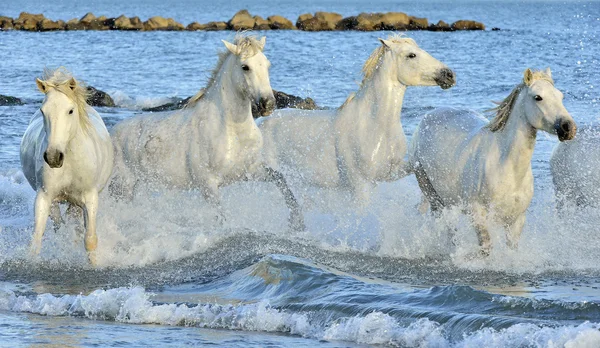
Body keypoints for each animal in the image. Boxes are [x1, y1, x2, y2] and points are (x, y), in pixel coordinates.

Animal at [20, 67, 115, 264]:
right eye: (42, 111)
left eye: (70, 111)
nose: (53, 157)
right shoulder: (44, 196)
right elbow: (36, 239)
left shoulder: (90, 198)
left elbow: (90, 240)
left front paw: (94, 265)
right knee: (60, 224)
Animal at [109, 34, 304, 231]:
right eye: (245, 67)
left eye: (267, 64)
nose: (268, 104)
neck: (232, 132)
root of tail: (111, 133)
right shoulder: (208, 185)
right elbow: (221, 217)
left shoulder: (249, 172)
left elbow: (280, 179)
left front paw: (297, 222)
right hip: (123, 186)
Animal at [258, 34, 454, 204]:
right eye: (411, 55)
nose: (449, 75)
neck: (375, 126)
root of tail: (260, 127)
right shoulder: (361, 186)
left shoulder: (390, 173)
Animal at [408, 68, 576, 254]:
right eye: (537, 97)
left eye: (560, 96)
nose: (569, 128)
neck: (507, 168)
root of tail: (428, 116)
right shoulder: (478, 213)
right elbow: (486, 248)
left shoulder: (516, 220)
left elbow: (511, 249)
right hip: (431, 193)